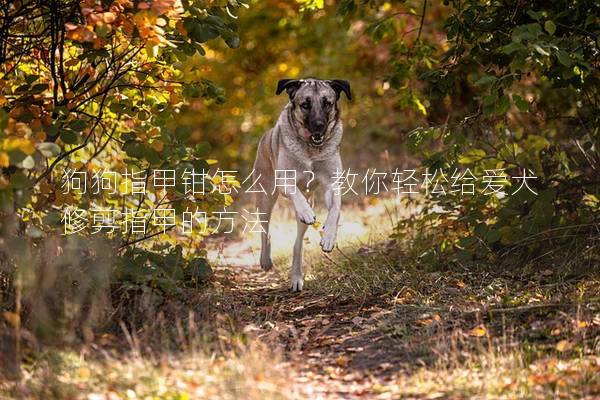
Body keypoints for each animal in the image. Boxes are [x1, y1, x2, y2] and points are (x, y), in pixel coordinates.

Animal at [252, 77, 352, 290]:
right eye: (305, 105)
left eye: (327, 103)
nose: (319, 125)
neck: (311, 149)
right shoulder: (284, 180)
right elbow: (294, 191)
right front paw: (306, 211)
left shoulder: (332, 185)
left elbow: (335, 209)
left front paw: (329, 236)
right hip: (265, 198)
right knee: (265, 231)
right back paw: (266, 260)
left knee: (297, 244)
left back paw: (296, 277)